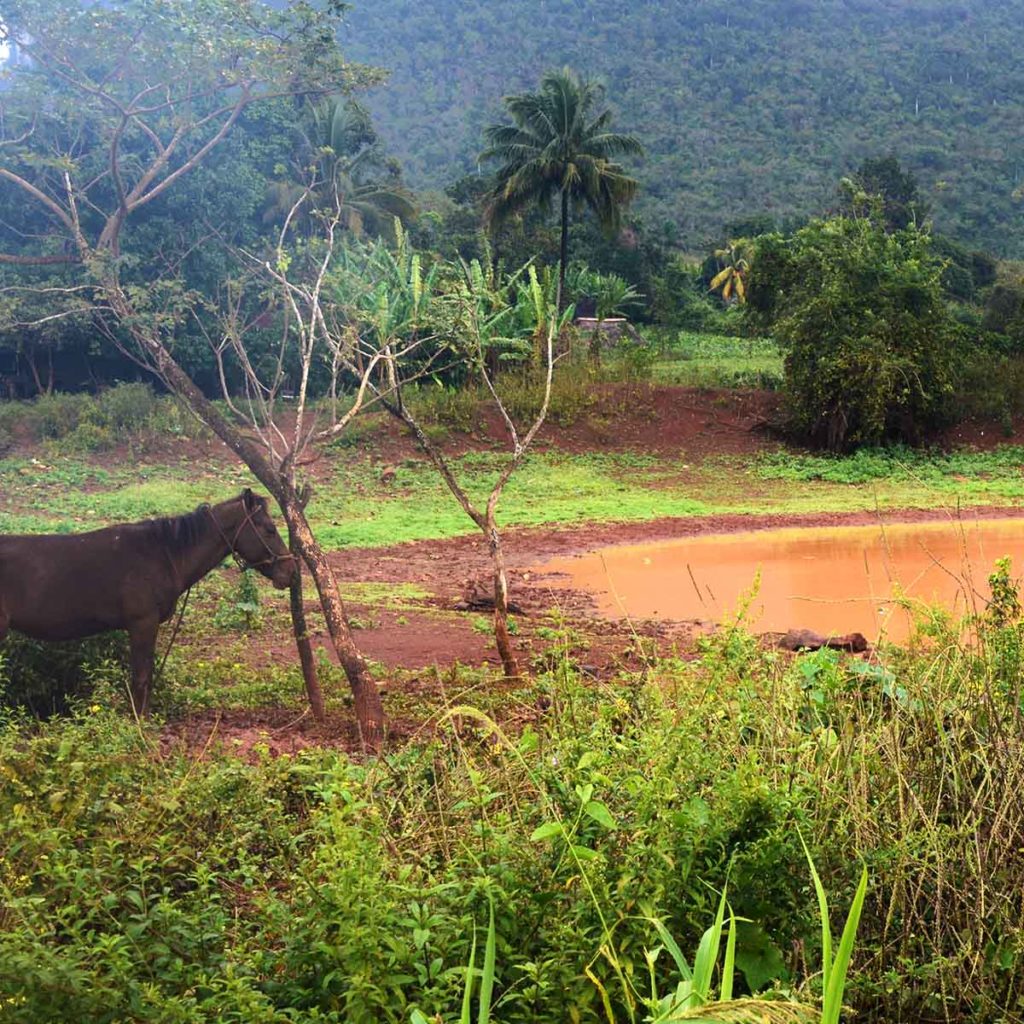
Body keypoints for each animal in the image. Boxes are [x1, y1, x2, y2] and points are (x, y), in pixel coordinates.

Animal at [0, 489, 296, 716]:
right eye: (270, 529)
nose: (291, 571)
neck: (164, 553)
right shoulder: (142, 624)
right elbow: (141, 678)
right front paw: (140, 724)